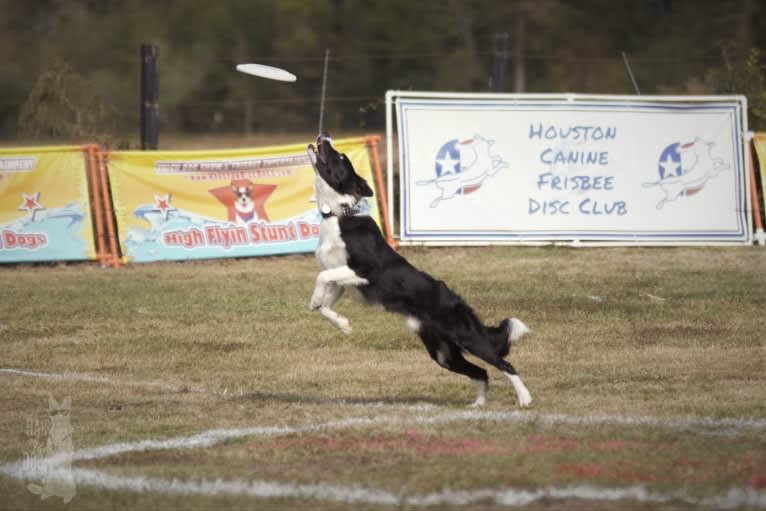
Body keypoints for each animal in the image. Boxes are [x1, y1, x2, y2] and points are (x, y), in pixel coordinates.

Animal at [306, 133, 536, 408]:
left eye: (340, 157)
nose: (324, 136)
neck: (338, 215)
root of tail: (460, 302)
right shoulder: (343, 282)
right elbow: (326, 307)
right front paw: (343, 325)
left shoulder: (364, 272)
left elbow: (321, 278)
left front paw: (314, 300)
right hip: (442, 352)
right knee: (481, 371)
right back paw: (479, 404)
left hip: (467, 337)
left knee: (504, 364)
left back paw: (525, 399)